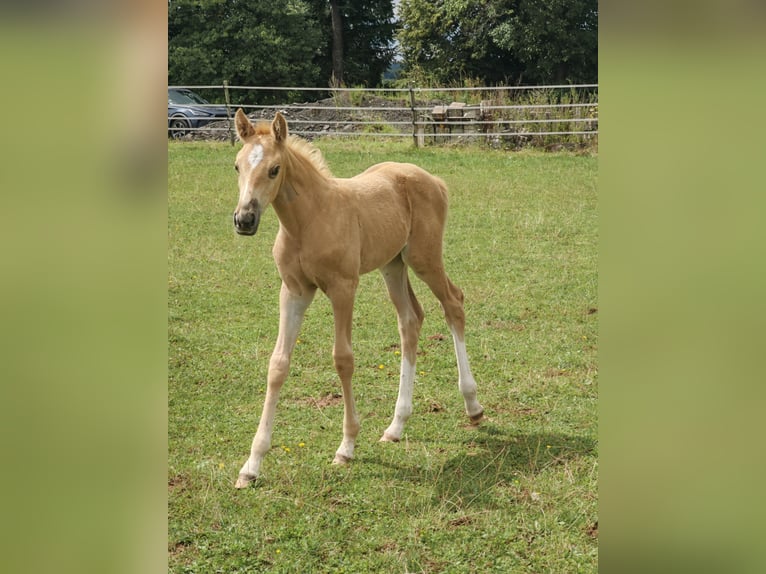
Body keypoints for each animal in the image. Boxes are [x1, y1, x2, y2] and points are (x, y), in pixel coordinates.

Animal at [231, 109, 484, 488]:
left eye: (274, 169)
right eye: (237, 166)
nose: (244, 220)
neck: (309, 221)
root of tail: (434, 179)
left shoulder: (343, 288)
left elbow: (343, 359)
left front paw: (347, 446)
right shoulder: (293, 291)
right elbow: (277, 365)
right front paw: (252, 465)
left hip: (423, 258)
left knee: (453, 303)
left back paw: (473, 406)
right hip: (392, 265)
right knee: (410, 320)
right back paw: (396, 425)